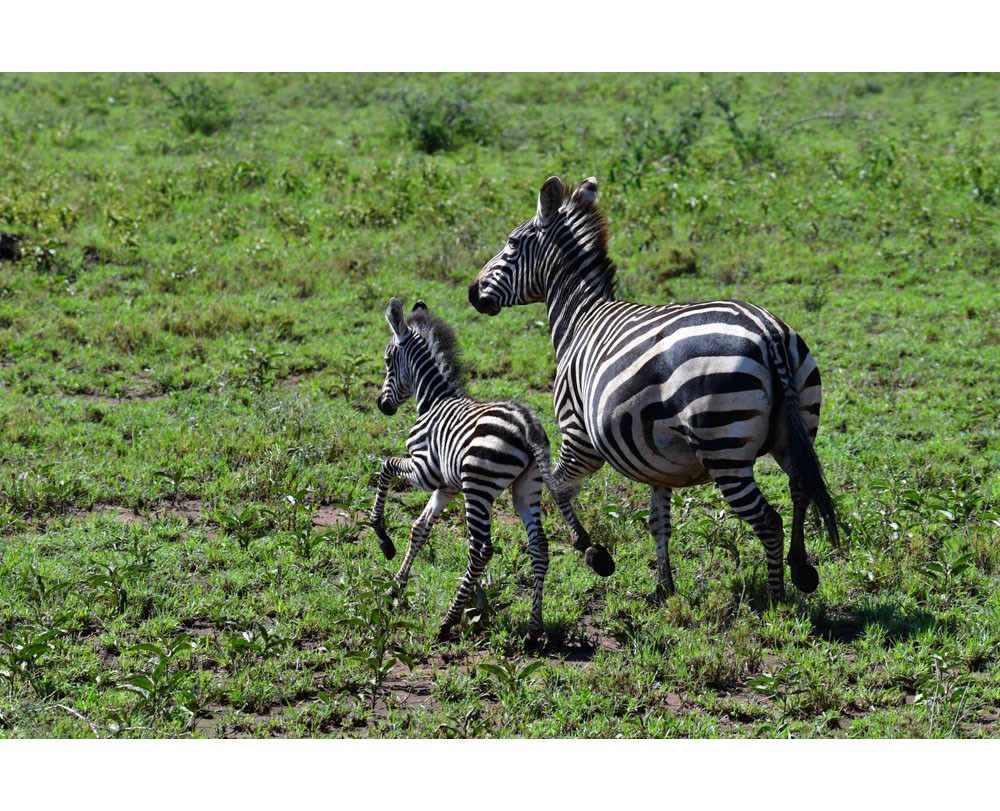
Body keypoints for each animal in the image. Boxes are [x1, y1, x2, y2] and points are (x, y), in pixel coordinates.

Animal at [372, 294, 612, 644]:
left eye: (389, 360)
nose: (382, 405)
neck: (432, 401)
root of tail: (527, 425)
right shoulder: (445, 487)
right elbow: (420, 528)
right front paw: (396, 587)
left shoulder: (424, 469)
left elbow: (385, 468)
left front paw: (383, 540)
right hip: (526, 488)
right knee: (539, 547)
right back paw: (534, 631)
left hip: (478, 487)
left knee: (481, 549)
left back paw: (448, 621)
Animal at [468, 174, 836, 604]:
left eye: (511, 243)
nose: (473, 292)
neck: (579, 319)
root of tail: (768, 332)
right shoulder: (658, 458)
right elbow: (659, 521)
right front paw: (664, 587)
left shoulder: (577, 434)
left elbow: (557, 488)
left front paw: (594, 553)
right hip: (796, 429)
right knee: (800, 490)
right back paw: (801, 570)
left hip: (724, 447)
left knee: (768, 521)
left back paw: (775, 600)